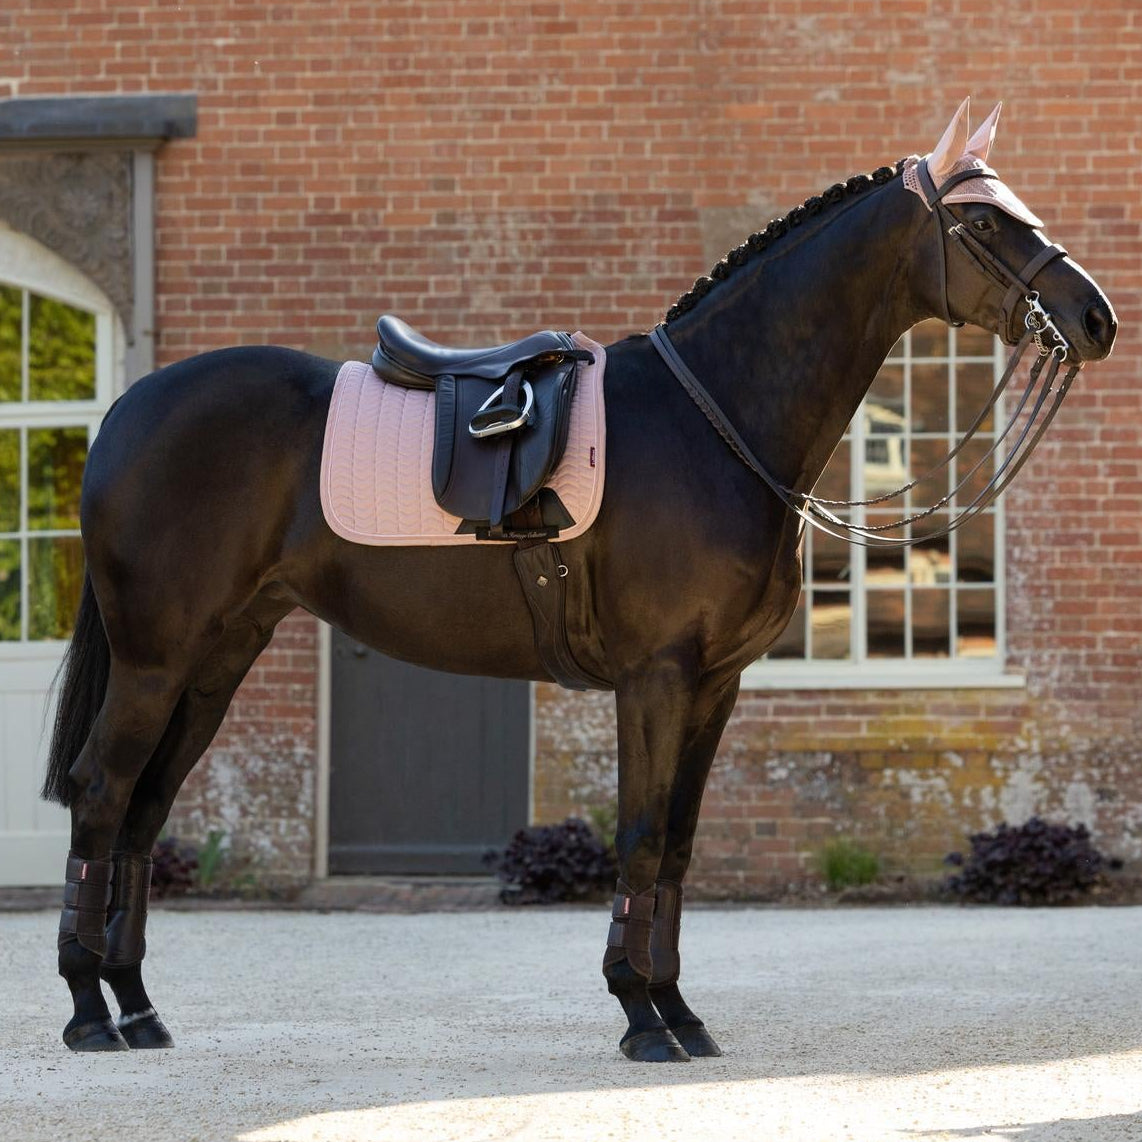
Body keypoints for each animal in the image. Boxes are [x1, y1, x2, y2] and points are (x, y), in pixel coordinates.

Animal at [41, 98, 1116, 1061]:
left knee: (143, 808)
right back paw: (89, 1011)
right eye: (985, 222)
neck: (713, 418)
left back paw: (139, 1008)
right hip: (155, 660)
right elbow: (639, 834)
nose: (1094, 317)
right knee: (101, 792)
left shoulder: (716, 684)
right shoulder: (657, 677)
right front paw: (642, 1018)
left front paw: (679, 1012)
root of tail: (129, 412)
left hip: (216, 659)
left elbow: (676, 844)